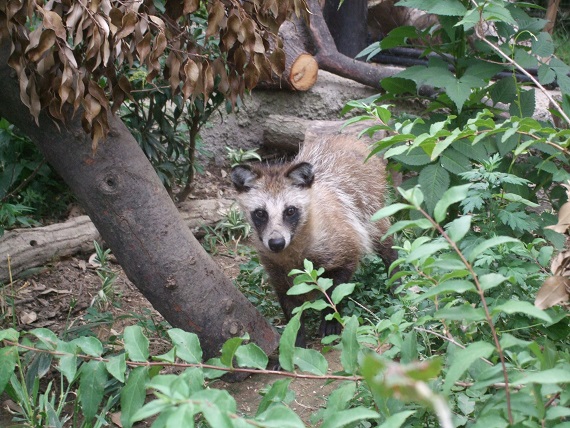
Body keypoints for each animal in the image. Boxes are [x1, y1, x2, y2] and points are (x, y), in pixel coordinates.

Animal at [229, 135, 392, 346]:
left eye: (290, 211)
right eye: (260, 213)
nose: (276, 243)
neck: (292, 250)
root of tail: (348, 138)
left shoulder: (342, 241)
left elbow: (338, 281)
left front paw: (330, 316)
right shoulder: (274, 267)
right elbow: (289, 301)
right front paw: (295, 336)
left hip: (371, 203)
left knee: (383, 237)